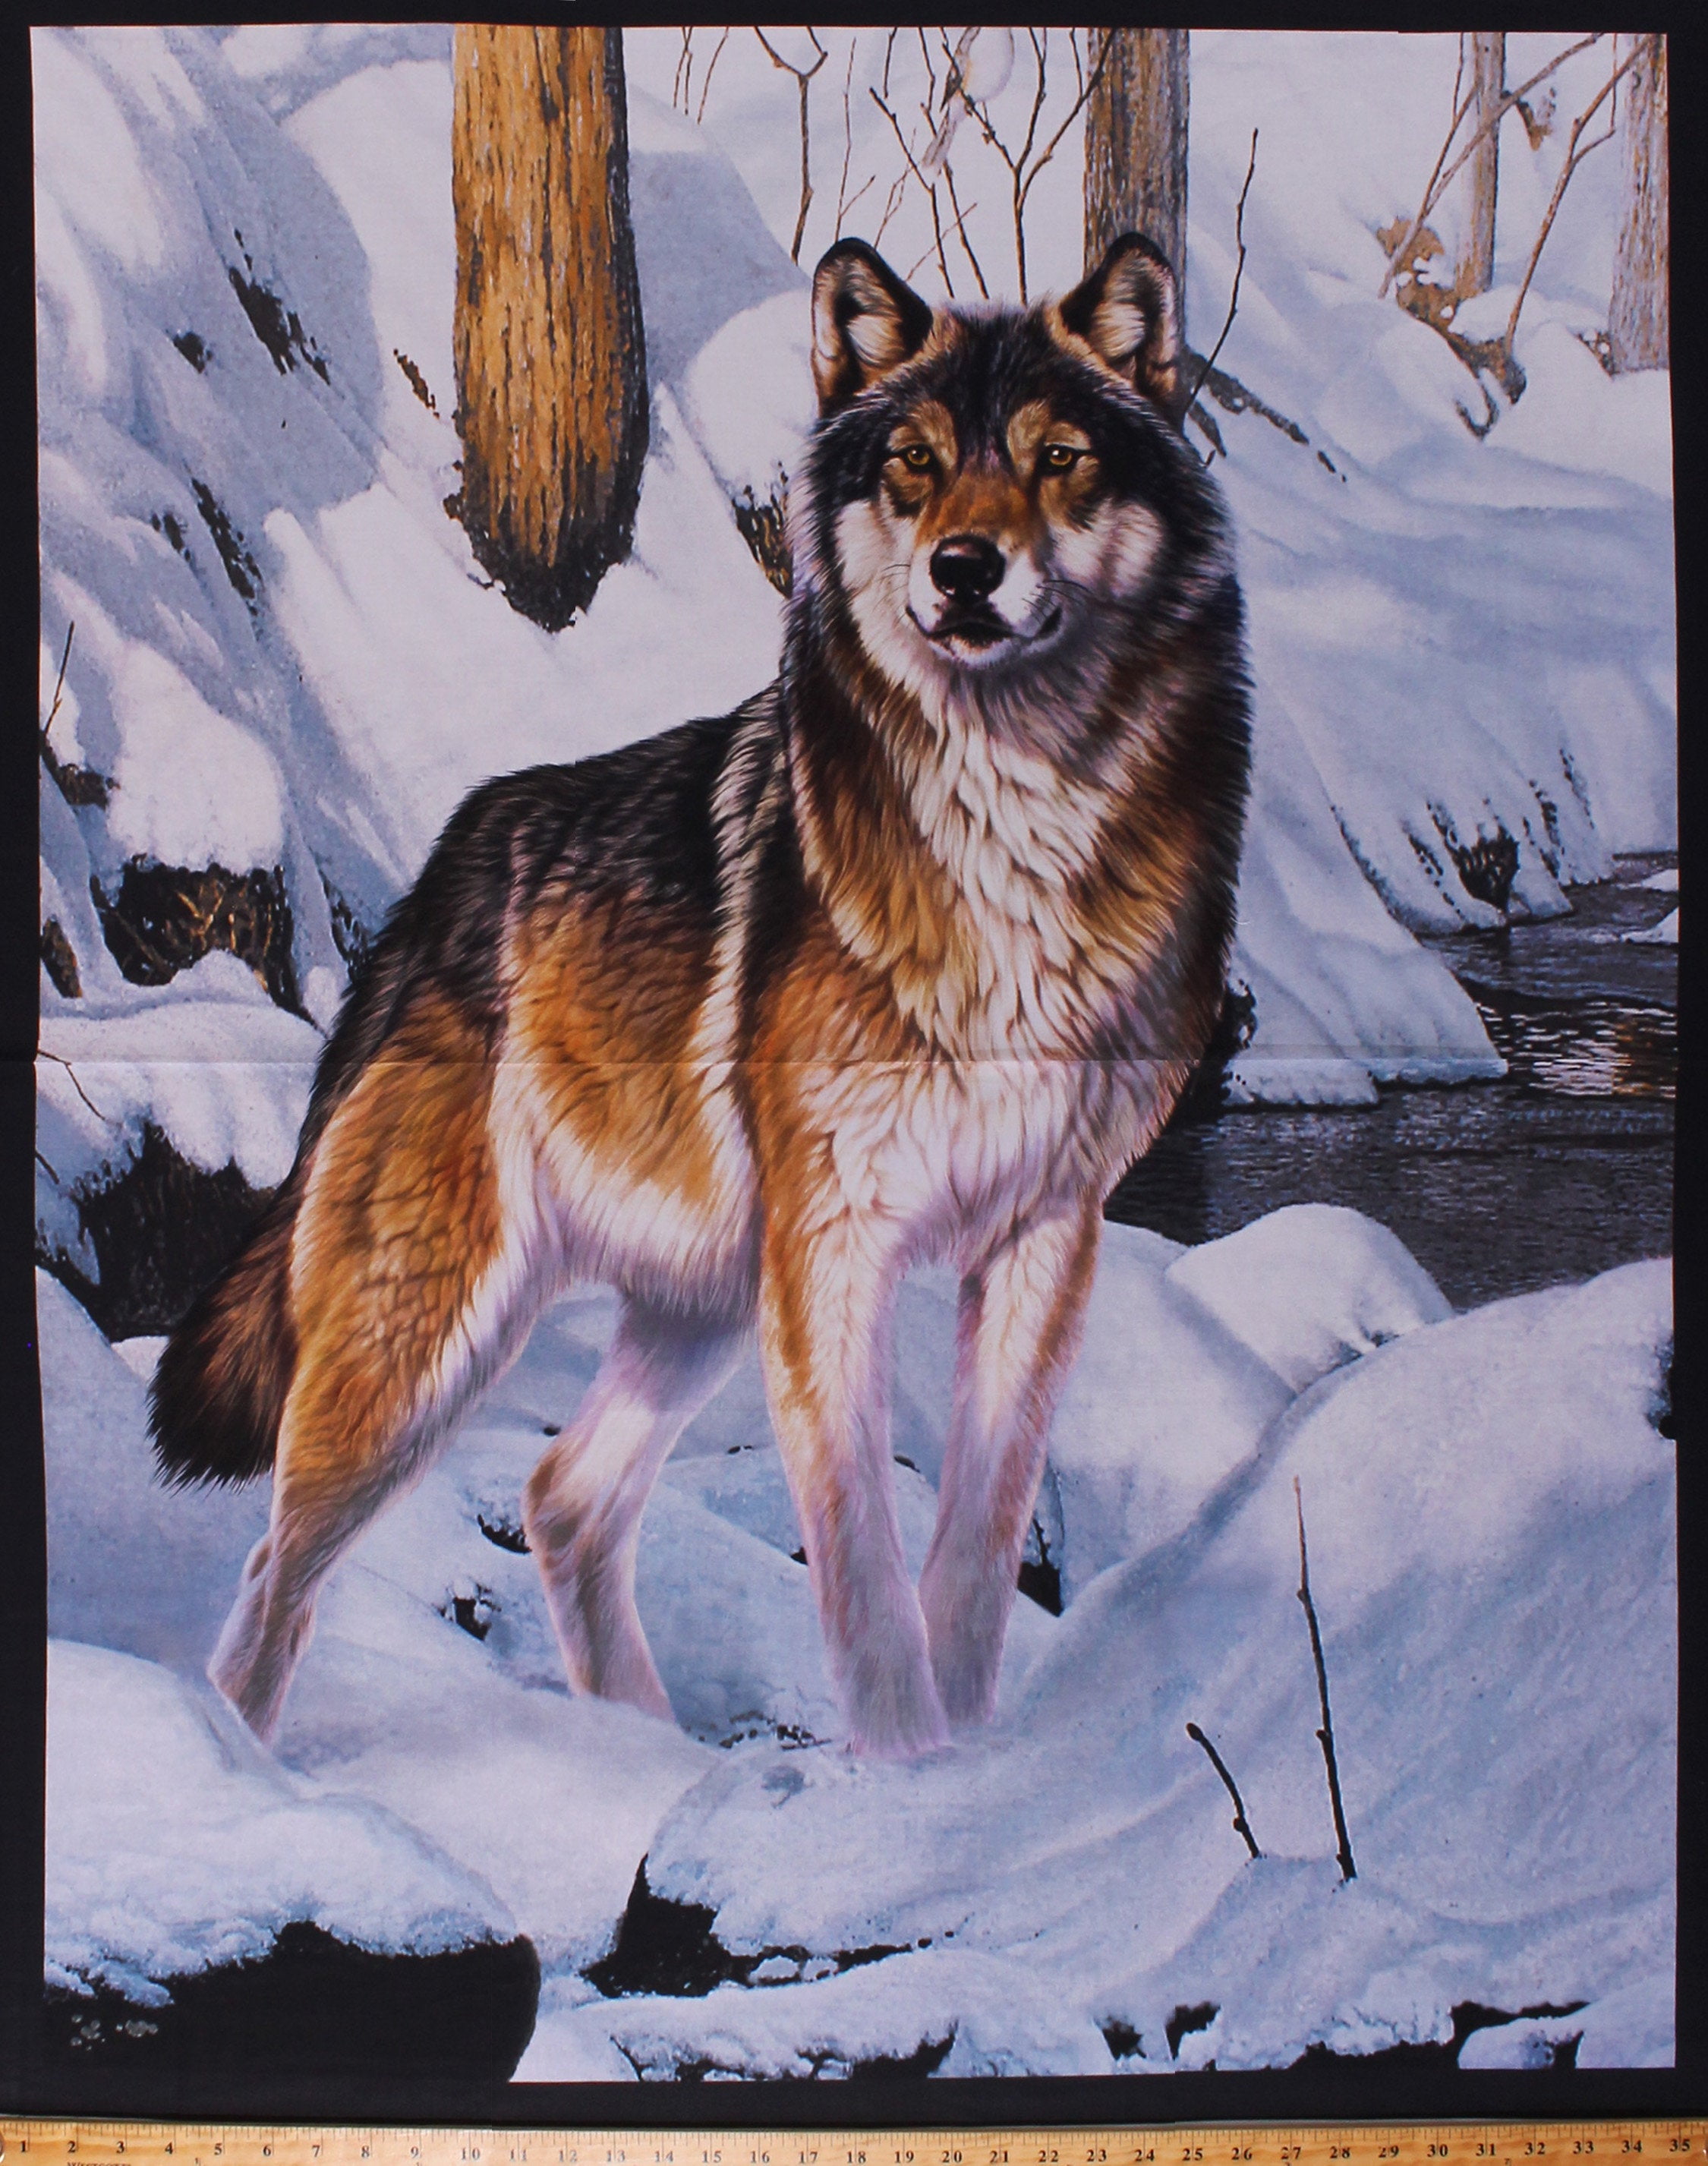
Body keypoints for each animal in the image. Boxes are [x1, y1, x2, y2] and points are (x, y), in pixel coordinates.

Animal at [151, 233, 1251, 1760]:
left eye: (1058, 459)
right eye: (914, 464)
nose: (965, 569)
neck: (1009, 834)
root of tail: (435, 882)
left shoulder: (1043, 1234)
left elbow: (972, 1557)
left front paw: (970, 1771)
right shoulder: (835, 1253)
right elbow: (861, 1574)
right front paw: (903, 1776)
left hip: (699, 1306)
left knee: (558, 1498)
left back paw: (637, 1756)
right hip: (428, 1344)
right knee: (271, 1579)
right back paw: (249, 1769)